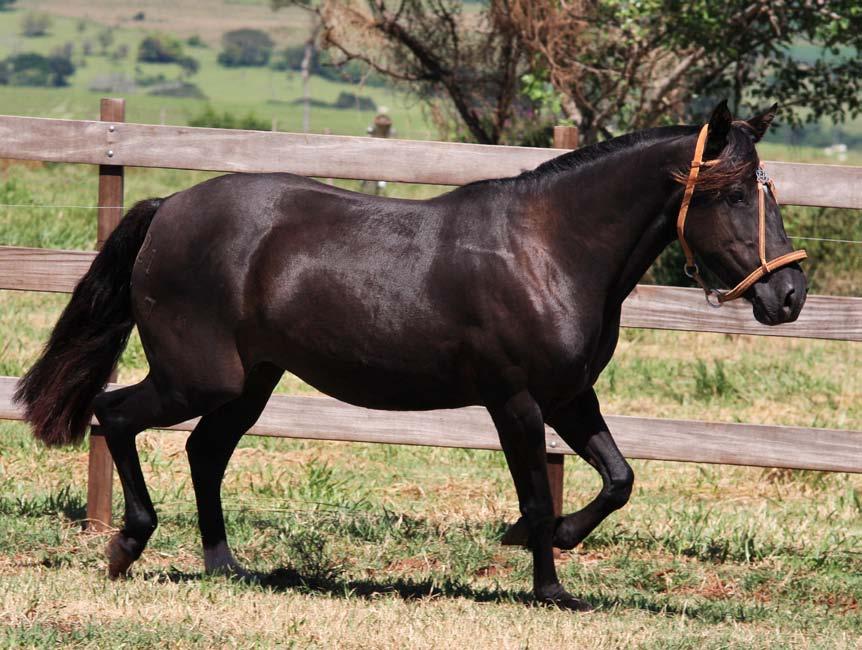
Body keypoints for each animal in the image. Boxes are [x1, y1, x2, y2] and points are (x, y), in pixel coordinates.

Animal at [16, 100, 808, 608]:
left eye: (766, 190)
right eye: (732, 195)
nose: (791, 294)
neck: (548, 249)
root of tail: (168, 209)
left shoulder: (569, 394)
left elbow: (618, 479)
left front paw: (546, 543)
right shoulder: (516, 399)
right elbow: (535, 489)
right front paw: (549, 582)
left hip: (250, 383)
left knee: (204, 452)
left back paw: (226, 565)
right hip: (197, 378)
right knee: (115, 413)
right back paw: (127, 546)